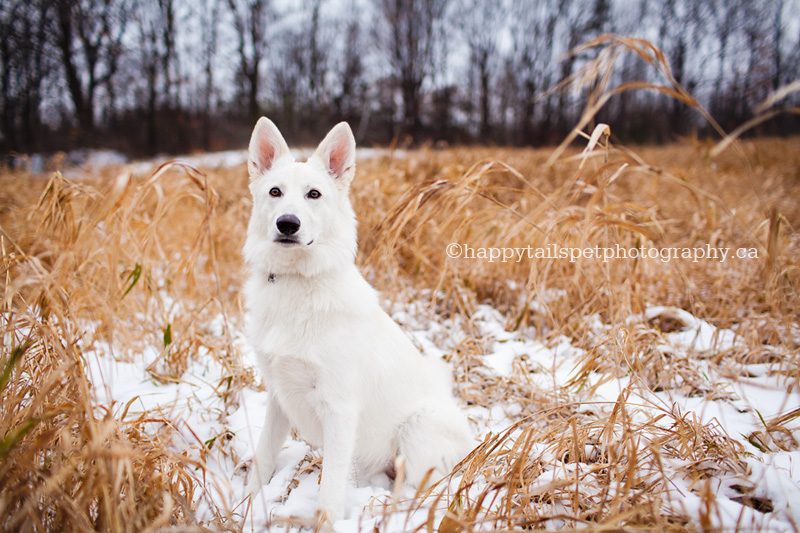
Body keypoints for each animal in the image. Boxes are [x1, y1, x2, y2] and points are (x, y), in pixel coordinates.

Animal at [241, 117, 472, 520]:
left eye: (313, 195)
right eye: (275, 192)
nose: (287, 224)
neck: (297, 283)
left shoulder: (340, 409)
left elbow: (330, 490)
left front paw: (323, 522)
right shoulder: (278, 398)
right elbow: (264, 459)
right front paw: (248, 509)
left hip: (418, 426)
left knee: (418, 490)